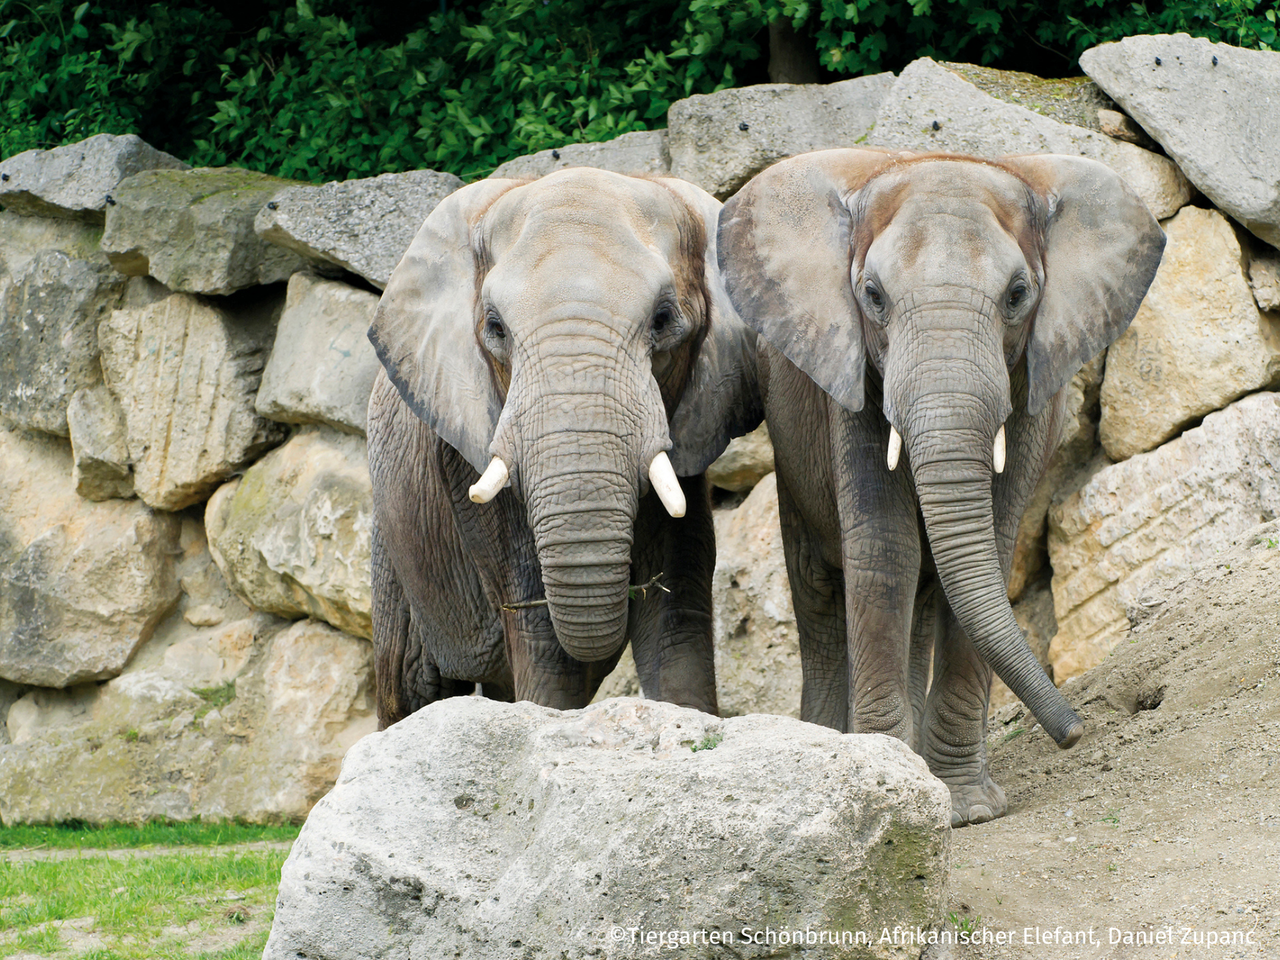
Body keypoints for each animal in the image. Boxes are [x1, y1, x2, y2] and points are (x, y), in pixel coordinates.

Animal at [727, 150, 1167, 829]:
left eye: (1017, 295)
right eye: (872, 296)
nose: (1075, 734)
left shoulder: (1034, 380)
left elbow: (993, 544)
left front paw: (964, 809)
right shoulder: (851, 382)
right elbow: (886, 552)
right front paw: (890, 785)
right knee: (822, 587)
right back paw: (828, 742)